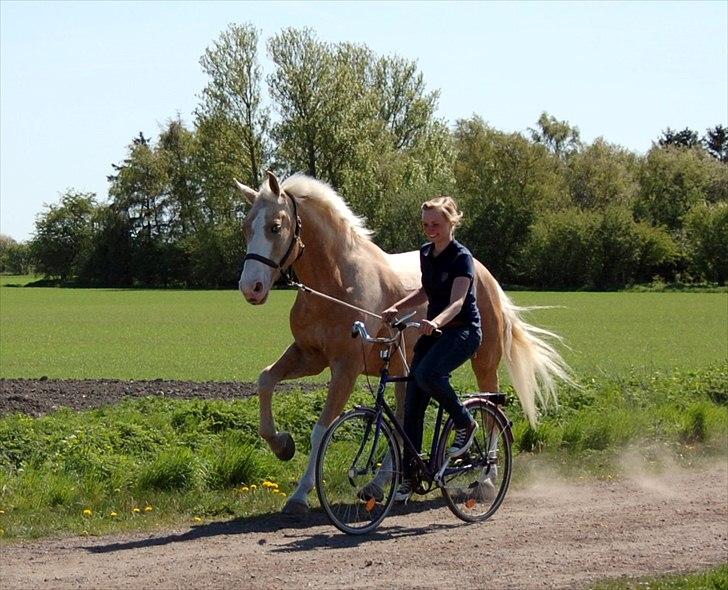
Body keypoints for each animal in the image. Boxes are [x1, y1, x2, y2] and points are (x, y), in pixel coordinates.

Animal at [236, 173, 572, 516]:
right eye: (246, 227)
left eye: (275, 226)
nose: (251, 289)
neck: (338, 283)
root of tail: (485, 275)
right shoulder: (309, 356)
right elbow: (266, 379)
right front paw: (283, 445)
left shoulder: (345, 368)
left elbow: (321, 431)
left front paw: (300, 495)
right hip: (405, 372)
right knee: (404, 420)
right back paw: (385, 485)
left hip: (483, 362)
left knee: (491, 411)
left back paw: (485, 480)